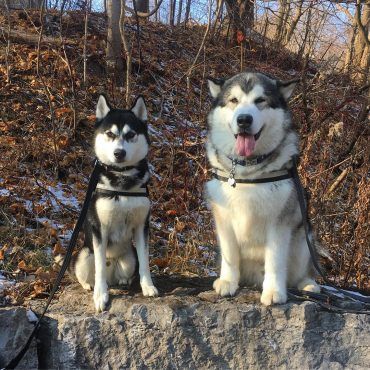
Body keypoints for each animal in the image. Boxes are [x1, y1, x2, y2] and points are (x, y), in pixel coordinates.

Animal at [68, 95, 157, 312]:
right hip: (83, 254)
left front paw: (148, 286)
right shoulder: (100, 228)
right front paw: (101, 295)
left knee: (128, 269)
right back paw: (90, 285)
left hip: (129, 257)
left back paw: (124, 281)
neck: (122, 178)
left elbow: (145, 261)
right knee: (87, 272)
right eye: (110, 134)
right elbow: (99, 266)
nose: (119, 153)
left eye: (131, 134)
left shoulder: (142, 226)